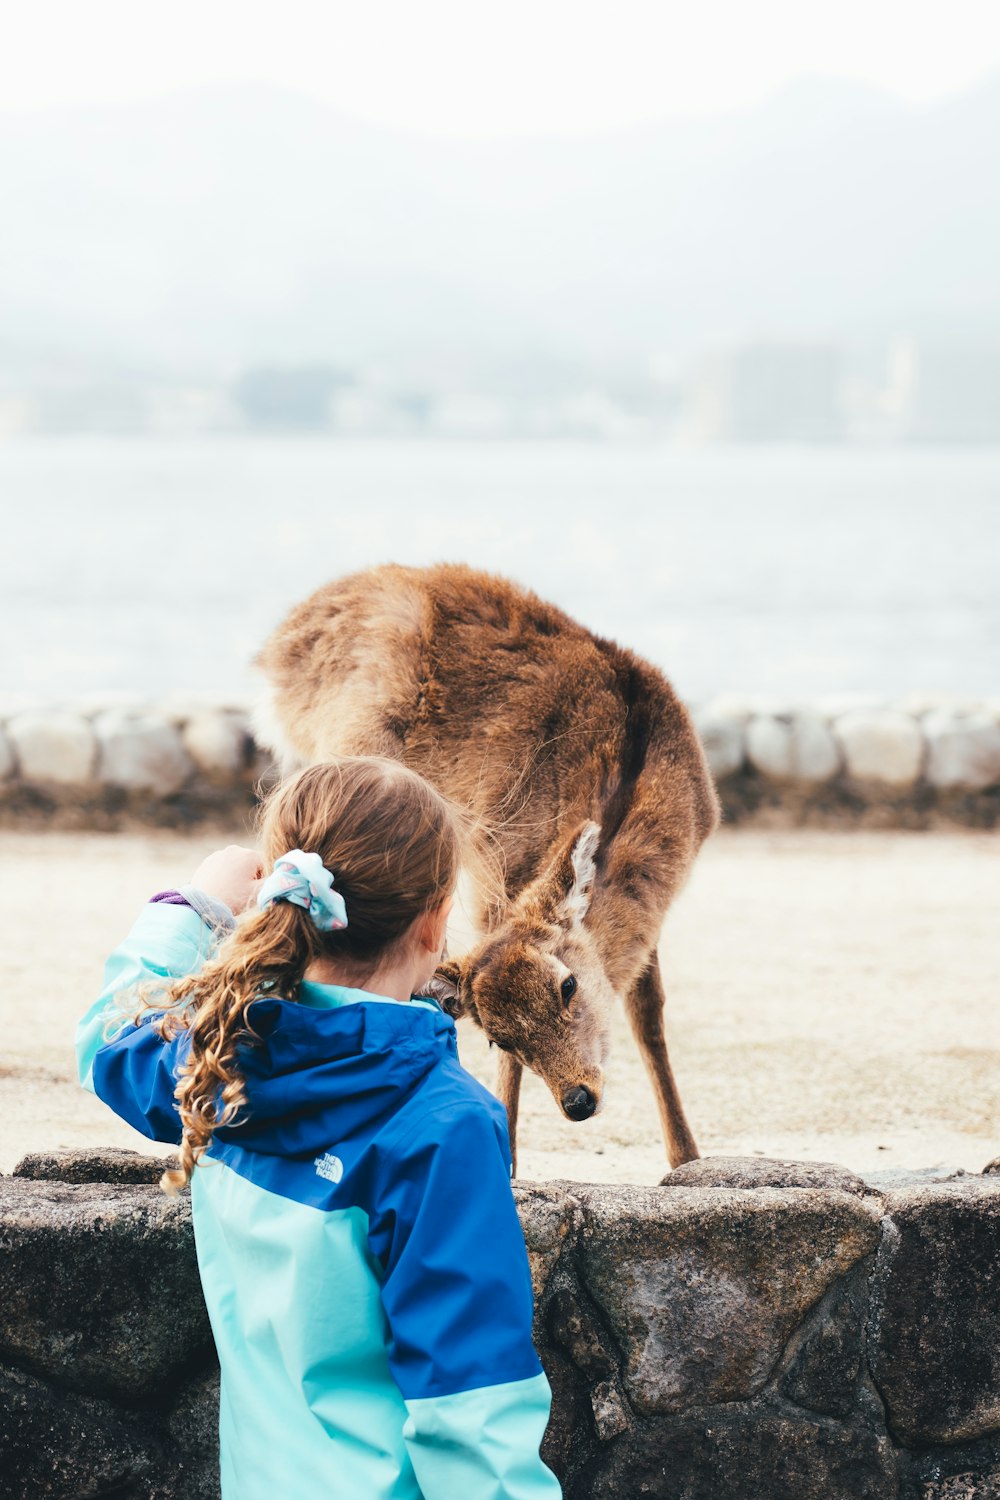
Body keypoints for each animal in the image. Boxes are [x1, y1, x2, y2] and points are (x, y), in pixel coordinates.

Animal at [250, 561, 719, 1170]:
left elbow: (649, 1012)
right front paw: (510, 1160)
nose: (577, 1101)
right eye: (498, 1036)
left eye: (568, 986)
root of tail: (277, 648)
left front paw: (686, 1157)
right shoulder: (498, 867)